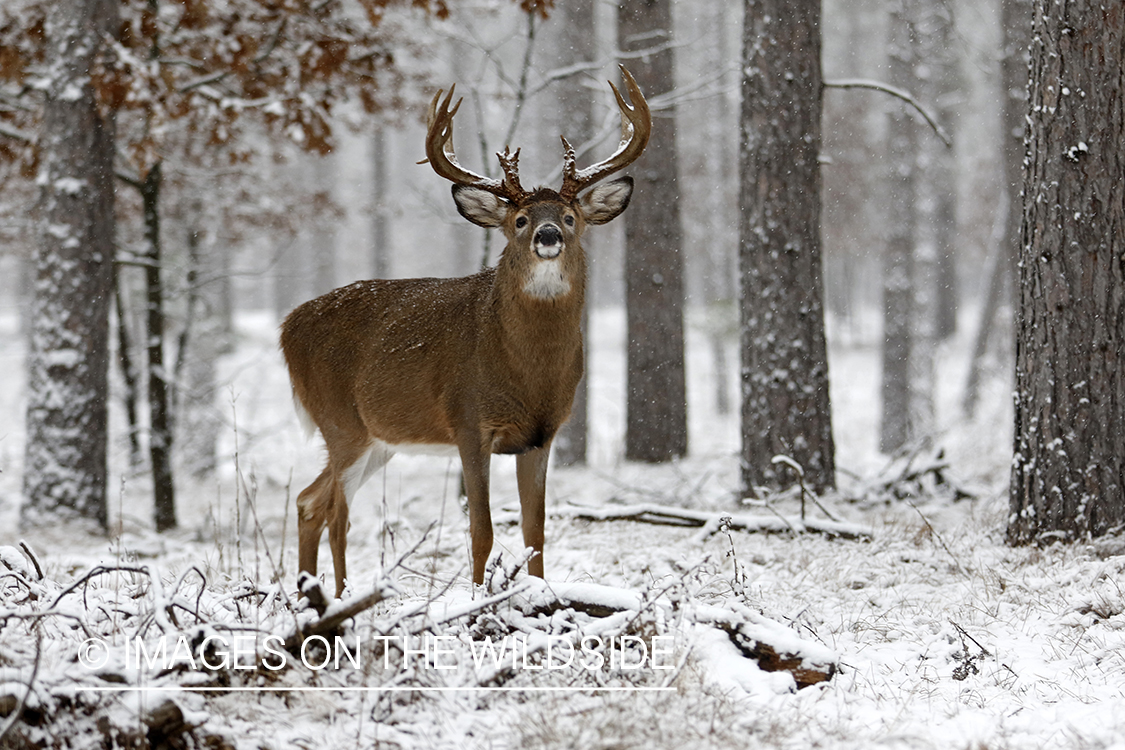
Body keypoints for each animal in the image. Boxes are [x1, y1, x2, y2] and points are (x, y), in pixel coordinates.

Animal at [280, 66, 651, 596]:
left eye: (570, 216)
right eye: (520, 219)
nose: (548, 236)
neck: (527, 371)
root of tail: (287, 325)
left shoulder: (542, 434)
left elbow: (536, 529)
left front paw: (539, 594)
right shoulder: (469, 421)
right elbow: (482, 528)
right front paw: (476, 599)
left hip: (378, 440)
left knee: (309, 501)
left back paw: (308, 595)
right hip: (341, 422)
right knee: (336, 515)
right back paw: (341, 596)